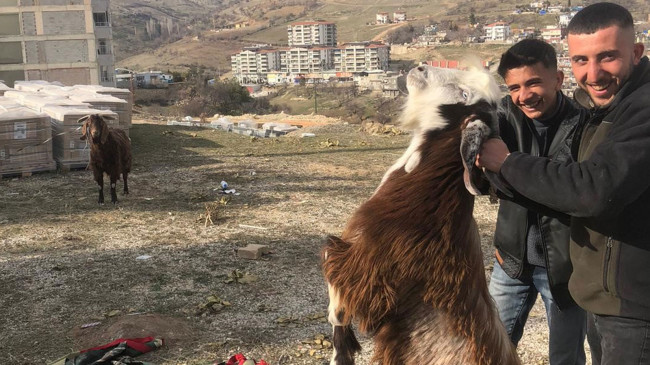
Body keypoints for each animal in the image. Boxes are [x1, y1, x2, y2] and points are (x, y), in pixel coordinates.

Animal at [322, 65, 520, 364]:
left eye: (464, 94)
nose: (420, 67)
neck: (426, 199)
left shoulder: (370, 275)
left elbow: (334, 278)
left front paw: (342, 349)